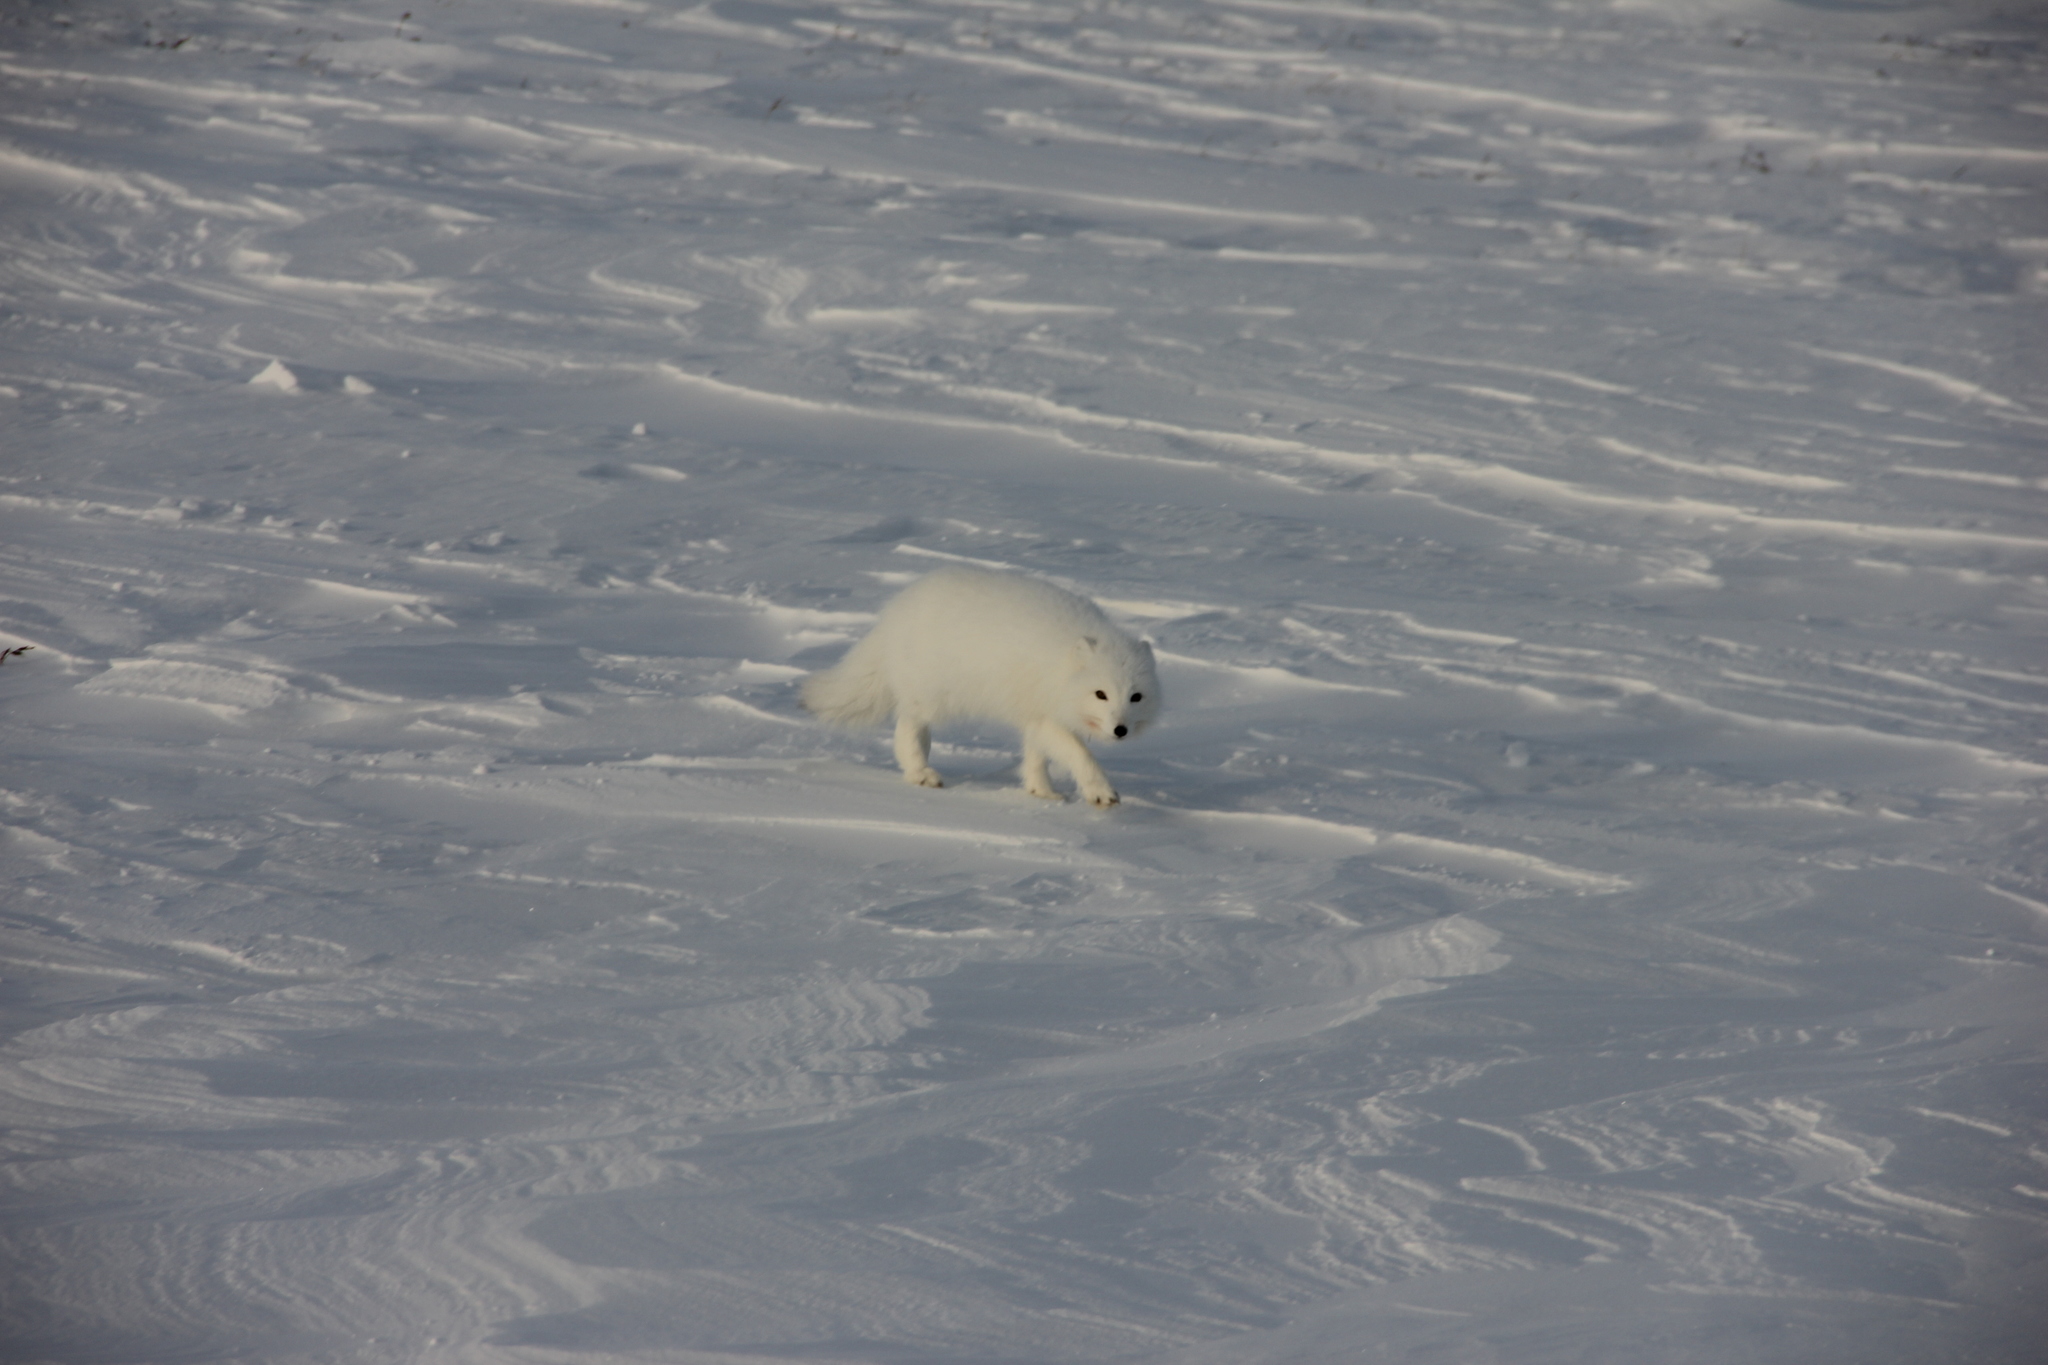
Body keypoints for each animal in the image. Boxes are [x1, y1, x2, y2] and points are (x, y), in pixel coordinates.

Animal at [798, 568, 1163, 806]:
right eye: (1101, 694)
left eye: (1135, 697)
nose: (1120, 730)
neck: (1061, 668)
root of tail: (897, 612)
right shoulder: (1048, 714)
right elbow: (1079, 754)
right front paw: (1101, 791)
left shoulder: (1037, 714)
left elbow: (1037, 756)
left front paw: (1041, 791)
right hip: (934, 694)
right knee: (907, 725)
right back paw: (920, 773)